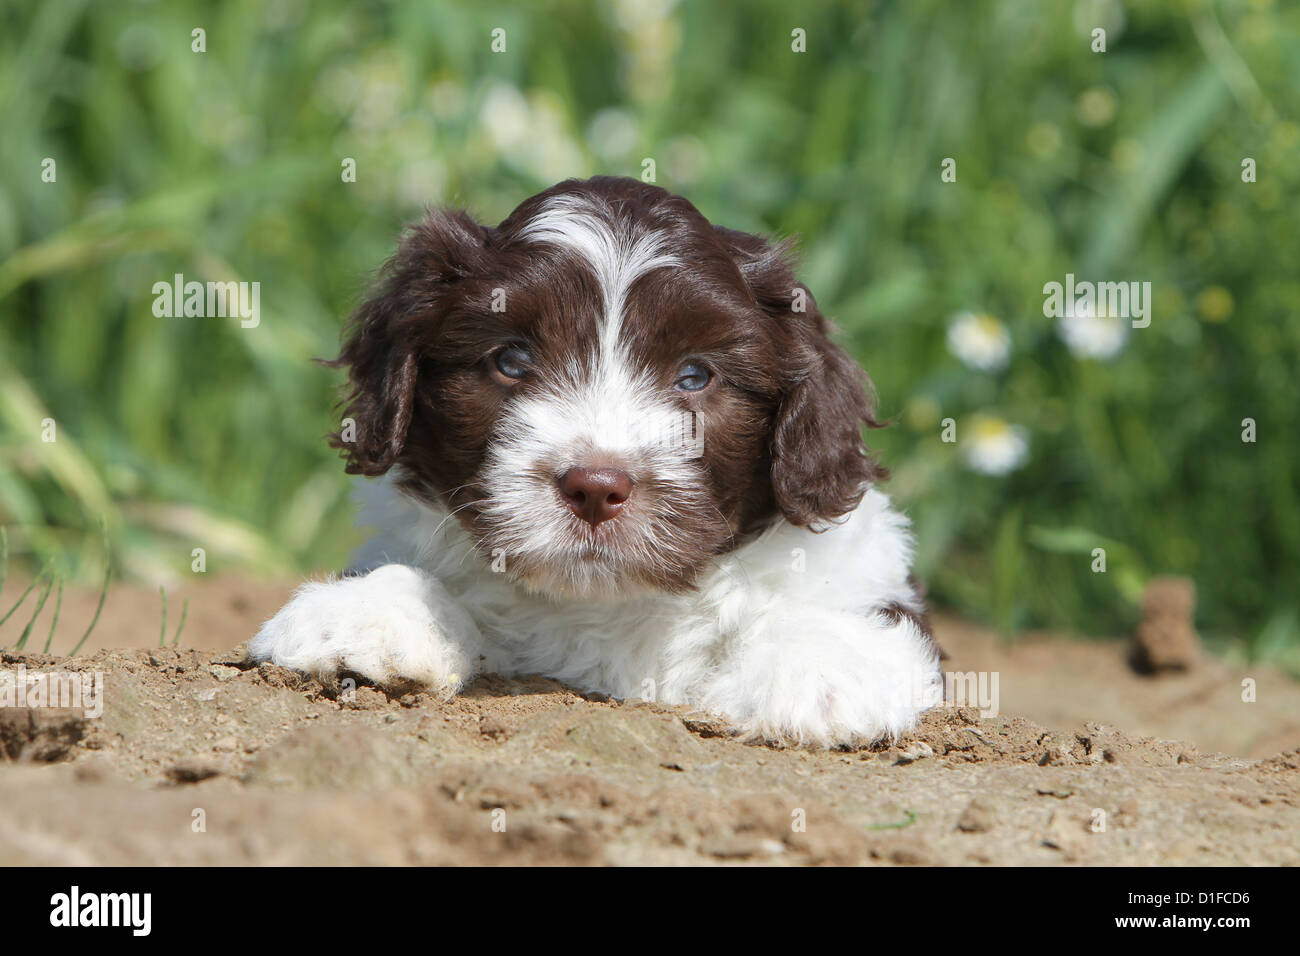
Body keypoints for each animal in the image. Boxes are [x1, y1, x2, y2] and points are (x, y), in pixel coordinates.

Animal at [250, 178, 946, 749]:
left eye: (696, 375)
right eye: (511, 360)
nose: (595, 486)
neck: (606, 606)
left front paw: (821, 666)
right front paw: (367, 616)